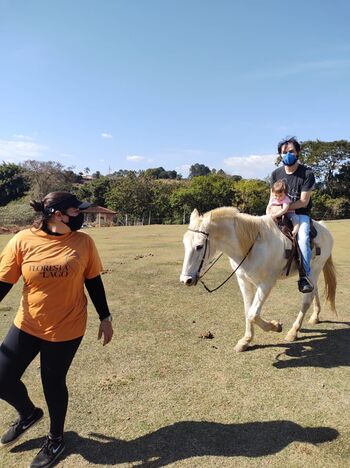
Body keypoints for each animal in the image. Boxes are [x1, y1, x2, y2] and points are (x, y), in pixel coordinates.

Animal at [180, 207, 336, 352]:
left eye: (199, 246)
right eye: (184, 244)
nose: (185, 280)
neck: (251, 246)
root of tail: (324, 228)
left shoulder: (266, 284)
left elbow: (253, 314)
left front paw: (275, 326)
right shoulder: (243, 280)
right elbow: (247, 310)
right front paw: (246, 340)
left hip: (314, 270)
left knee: (306, 300)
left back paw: (293, 331)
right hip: (312, 274)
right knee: (314, 291)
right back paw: (315, 317)